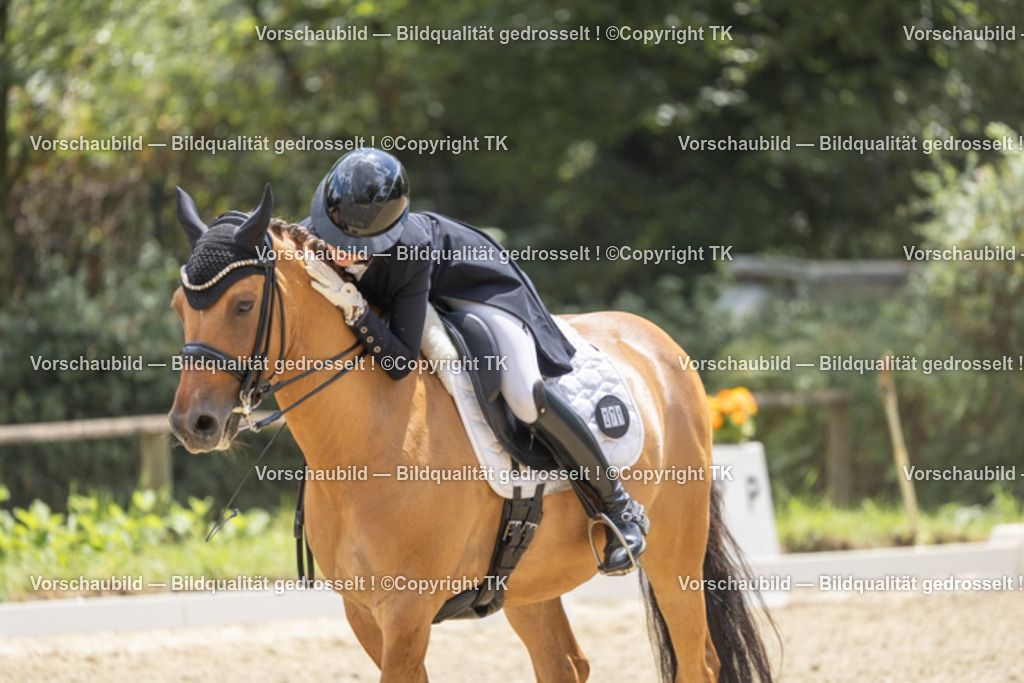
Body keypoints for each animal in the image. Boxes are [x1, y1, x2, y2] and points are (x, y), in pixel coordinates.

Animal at [168, 186, 775, 682]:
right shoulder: (364, 614)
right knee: (564, 664)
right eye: (180, 308)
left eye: (244, 305)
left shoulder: (406, 614)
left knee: (698, 662)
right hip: (529, 578)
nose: (192, 425)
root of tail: (658, 342)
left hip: (676, 555)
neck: (365, 439)